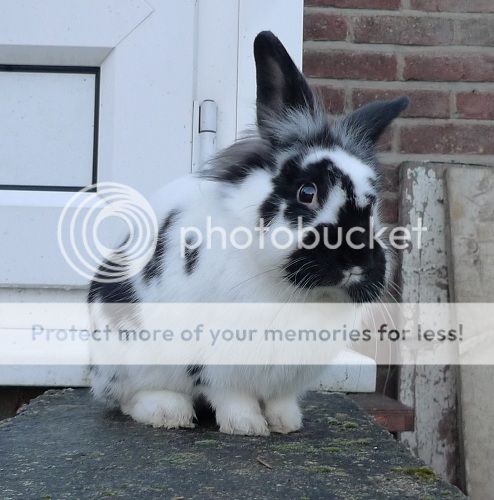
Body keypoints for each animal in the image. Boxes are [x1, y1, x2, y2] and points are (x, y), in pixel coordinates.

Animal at [89, 30, 410, 434]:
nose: (356, 262)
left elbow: (278, 399)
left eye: (373, 201)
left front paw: (286, 423)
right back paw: (168, 413)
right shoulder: (221, 362)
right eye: (307, 192)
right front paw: (247, 426)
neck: (291, 292)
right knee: (130, 397)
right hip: (130, 355)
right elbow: (232, 395)